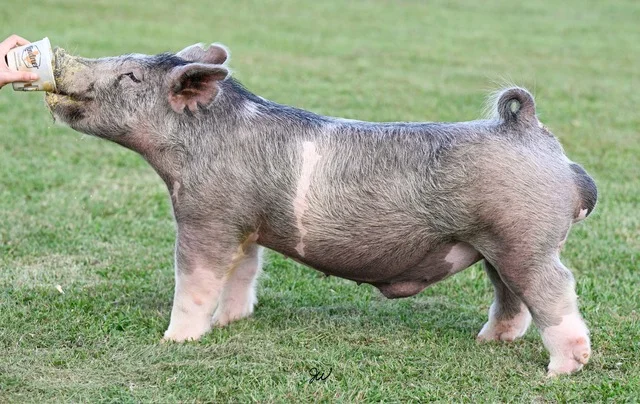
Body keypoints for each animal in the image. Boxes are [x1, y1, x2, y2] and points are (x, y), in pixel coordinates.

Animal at [44, 43, 597, 376]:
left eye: (130, 76)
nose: (61, 62)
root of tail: (530, 132)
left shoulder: (208, 214)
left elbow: (196, 280)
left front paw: (175, 341)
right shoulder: (246, 225)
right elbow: (243, 273)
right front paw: (230, 323)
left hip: (525, 239)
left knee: (555, 289)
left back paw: (562, 369)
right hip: (499, 244)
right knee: (510, 296)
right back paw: (489, 342)